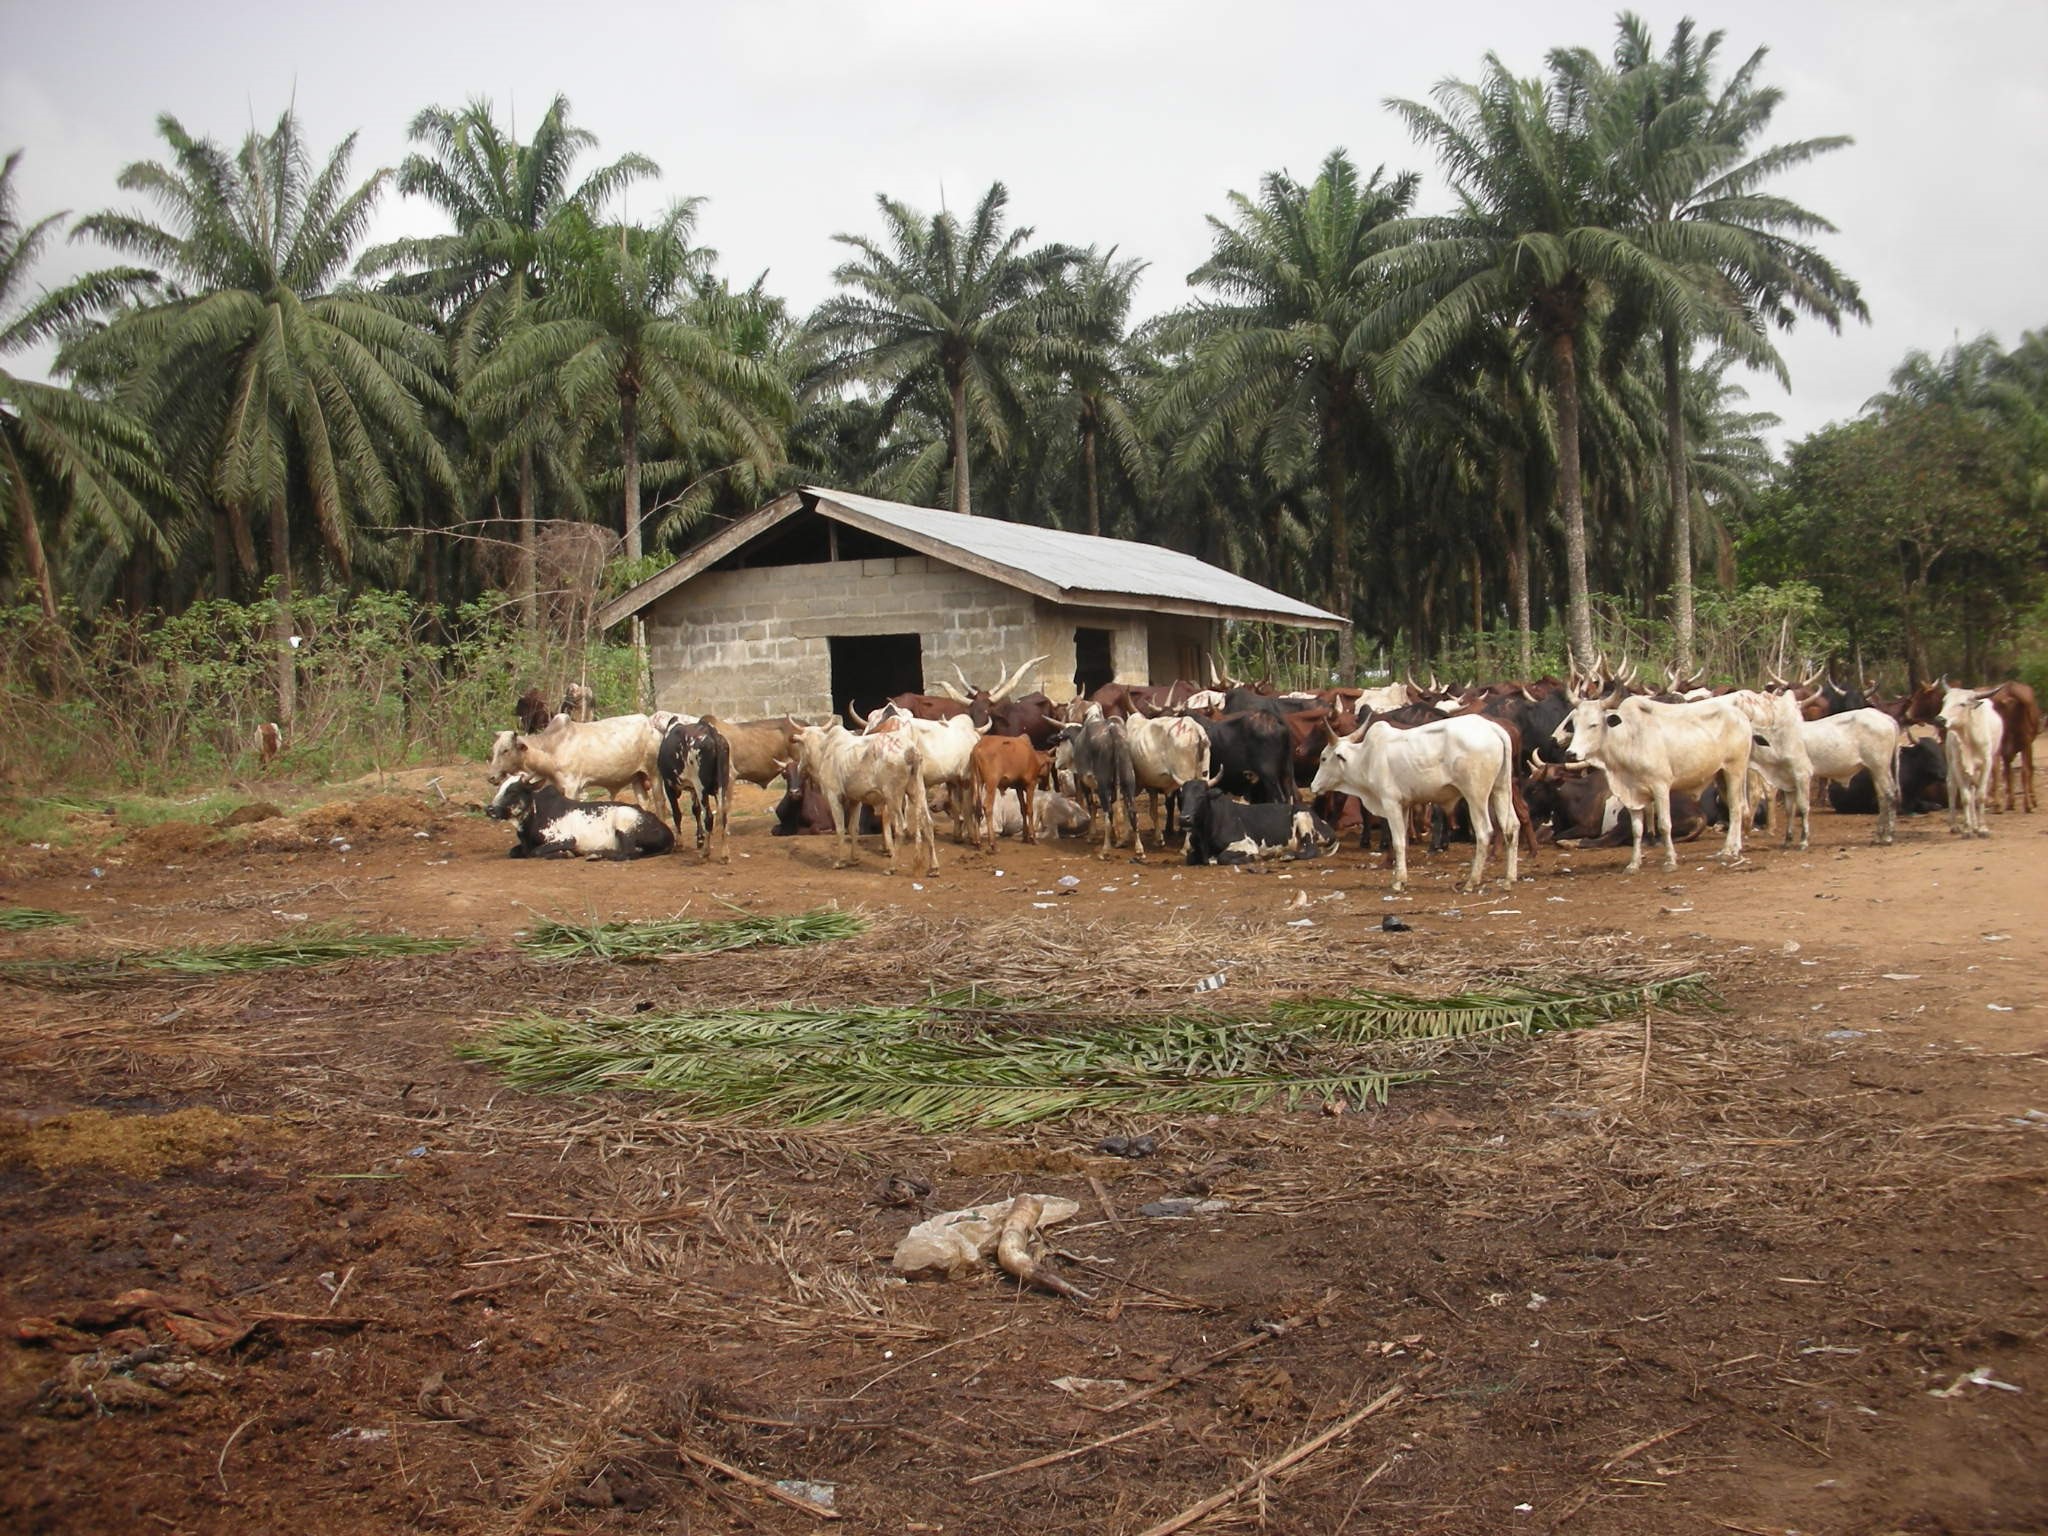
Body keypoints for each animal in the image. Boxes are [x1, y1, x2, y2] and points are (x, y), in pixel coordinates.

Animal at [483, 774, 675, 860]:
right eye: (499, 789)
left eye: (513, 791)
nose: (489, 809)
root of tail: (666, 831)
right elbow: (515, 852)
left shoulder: (567, 838)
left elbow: (536, 852)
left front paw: (565, 853)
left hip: (624, 821)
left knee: (627, 853)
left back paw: (596, 854)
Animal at [1179, 782, 1335, 868]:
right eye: (1182, 797)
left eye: (1200, 796)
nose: (1184, 818)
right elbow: (1190, 858)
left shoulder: (1246, 844)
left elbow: (1223, 857)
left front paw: (1254, 858)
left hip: (1301, 815)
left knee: (1312, 850)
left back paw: (1287, 856)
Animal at [1310, 720, 1523, 897]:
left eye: (1323, 758)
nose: (1313, 786)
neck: (1366, 759)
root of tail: (1493, 728)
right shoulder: (1404, 805)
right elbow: (1404, 840)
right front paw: (1402, 877)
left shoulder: (1391, 803)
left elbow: (1397, 842)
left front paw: (1398, 882)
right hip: (1500, 789)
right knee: (1511, 826)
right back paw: (1509, 879)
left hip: (1476, 795)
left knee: (1484, 832)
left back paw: (1471, 882)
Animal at [1556, 692, 1753, 872]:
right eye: (1574, 725)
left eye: (1593, 724)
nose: (1571, 754)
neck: (1629, 739)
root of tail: (1740, 714)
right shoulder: (1632, 794)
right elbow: (1637, 829)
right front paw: (1634, 864)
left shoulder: (1661, 787)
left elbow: (1664, 825)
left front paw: (1670, 861)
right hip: (1720, 775)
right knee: (1739, 806)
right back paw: (1735, 848)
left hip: (1735, 770)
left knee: (1735, 808)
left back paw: (1727, 850)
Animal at [1933, 692, 1998, 843]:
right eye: (1944, 701)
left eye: (1962, 704)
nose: (1939, 720)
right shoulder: (1957, 765)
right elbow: (1965, 797)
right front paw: (1967, 830)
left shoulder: (1987, 763)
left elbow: (1980, 795)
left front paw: (1982, 828)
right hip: (1951, 762)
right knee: (1952, 787)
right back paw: (1956, 825)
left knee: (1973, 788)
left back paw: (1975, 826)